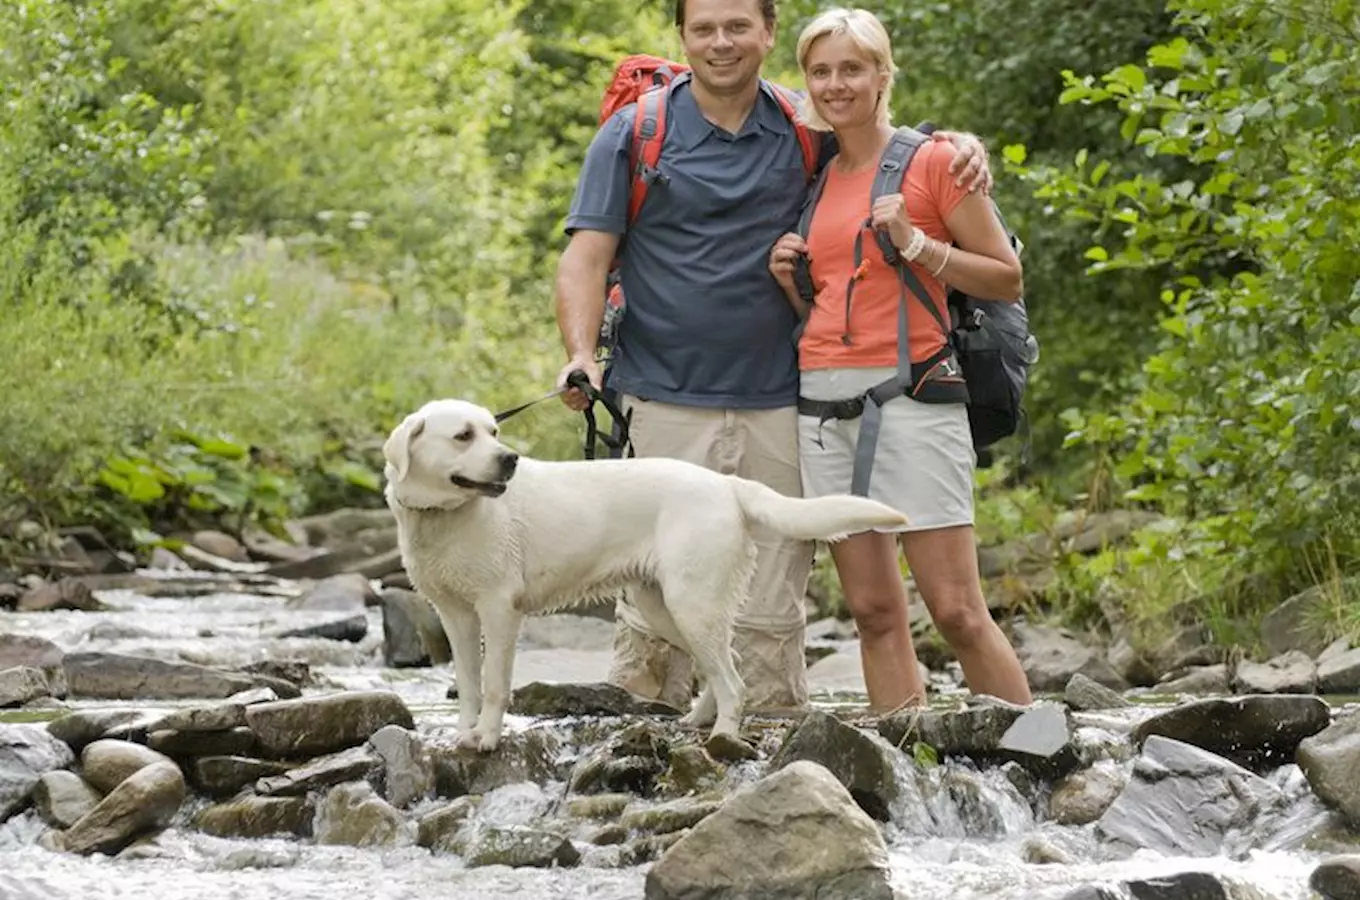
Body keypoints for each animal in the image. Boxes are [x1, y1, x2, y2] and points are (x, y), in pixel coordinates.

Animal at [383, 399, 908, 750]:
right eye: (464, 436)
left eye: (493, 431)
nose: (508, 459)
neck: (444, 514)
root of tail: (728, 485)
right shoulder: (455, 614)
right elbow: (468, 683)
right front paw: (463, 735)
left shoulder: (498, 609)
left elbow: (493, 683)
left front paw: (487, 739)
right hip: (665, 609)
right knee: (726, 665)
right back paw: (698, 720)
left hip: (690, 603)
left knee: (733, 681)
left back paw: (722, 737)